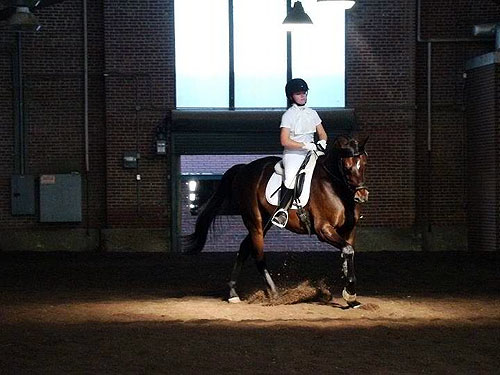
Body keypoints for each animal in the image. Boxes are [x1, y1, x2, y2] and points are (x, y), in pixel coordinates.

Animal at [184, 135, 368, 308]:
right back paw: (275, 294)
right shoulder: (323, 229)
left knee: (244, 248)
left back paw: (233, 293)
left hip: (265, 221)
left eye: (364, 163)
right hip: (254, 221)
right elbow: (348, 251)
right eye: (347, 166)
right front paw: (350, 293)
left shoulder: (349, 231)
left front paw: (350, 296)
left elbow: (348, 253)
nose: (362, 196)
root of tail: (244, 168)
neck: (336, 187)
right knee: (258, 256)